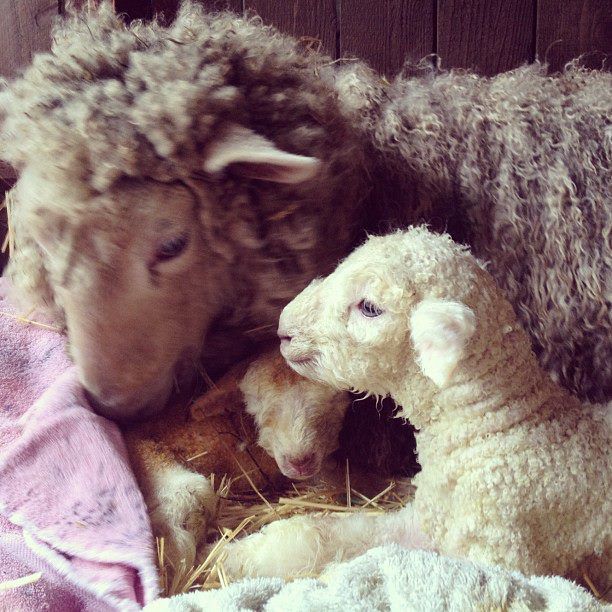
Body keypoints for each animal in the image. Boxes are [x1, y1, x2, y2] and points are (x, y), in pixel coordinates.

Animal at [222, 227, 608, 584]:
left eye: (369, 307)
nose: (284, 330)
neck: (498, 424)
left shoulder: (501, 552)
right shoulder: (422, 520)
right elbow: (320, 532)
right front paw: (240, 556)